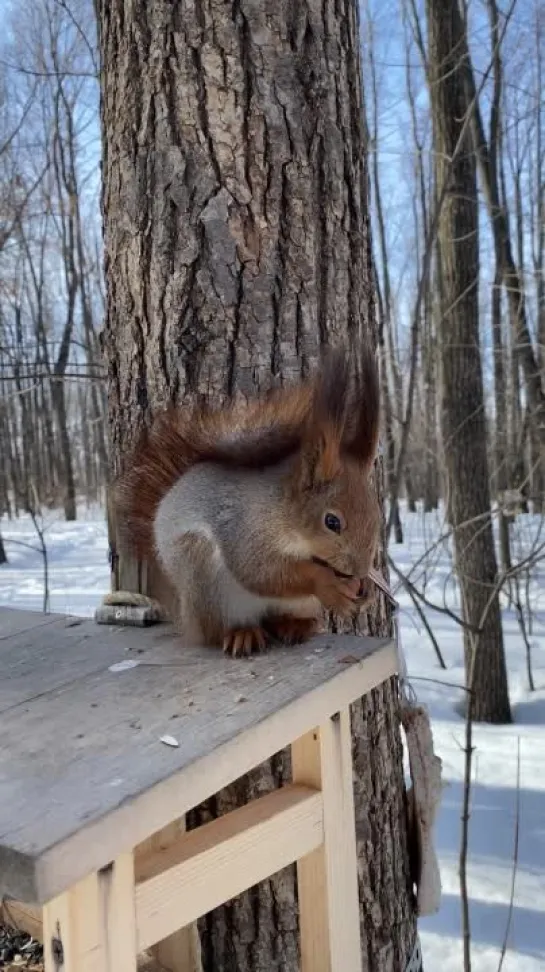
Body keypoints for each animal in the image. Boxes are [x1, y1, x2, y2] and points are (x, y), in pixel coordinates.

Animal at [115, 346, 378, 656]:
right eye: (332, 521)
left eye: (377, 517)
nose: (360, 571)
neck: (284, 515)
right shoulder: (244, 530)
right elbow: (260, 572)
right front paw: (329, 585)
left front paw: (364, 589)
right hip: (205, 579)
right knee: (216, 631)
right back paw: (242, 634)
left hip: (299, 603)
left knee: (279, 618)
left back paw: (294, 625)